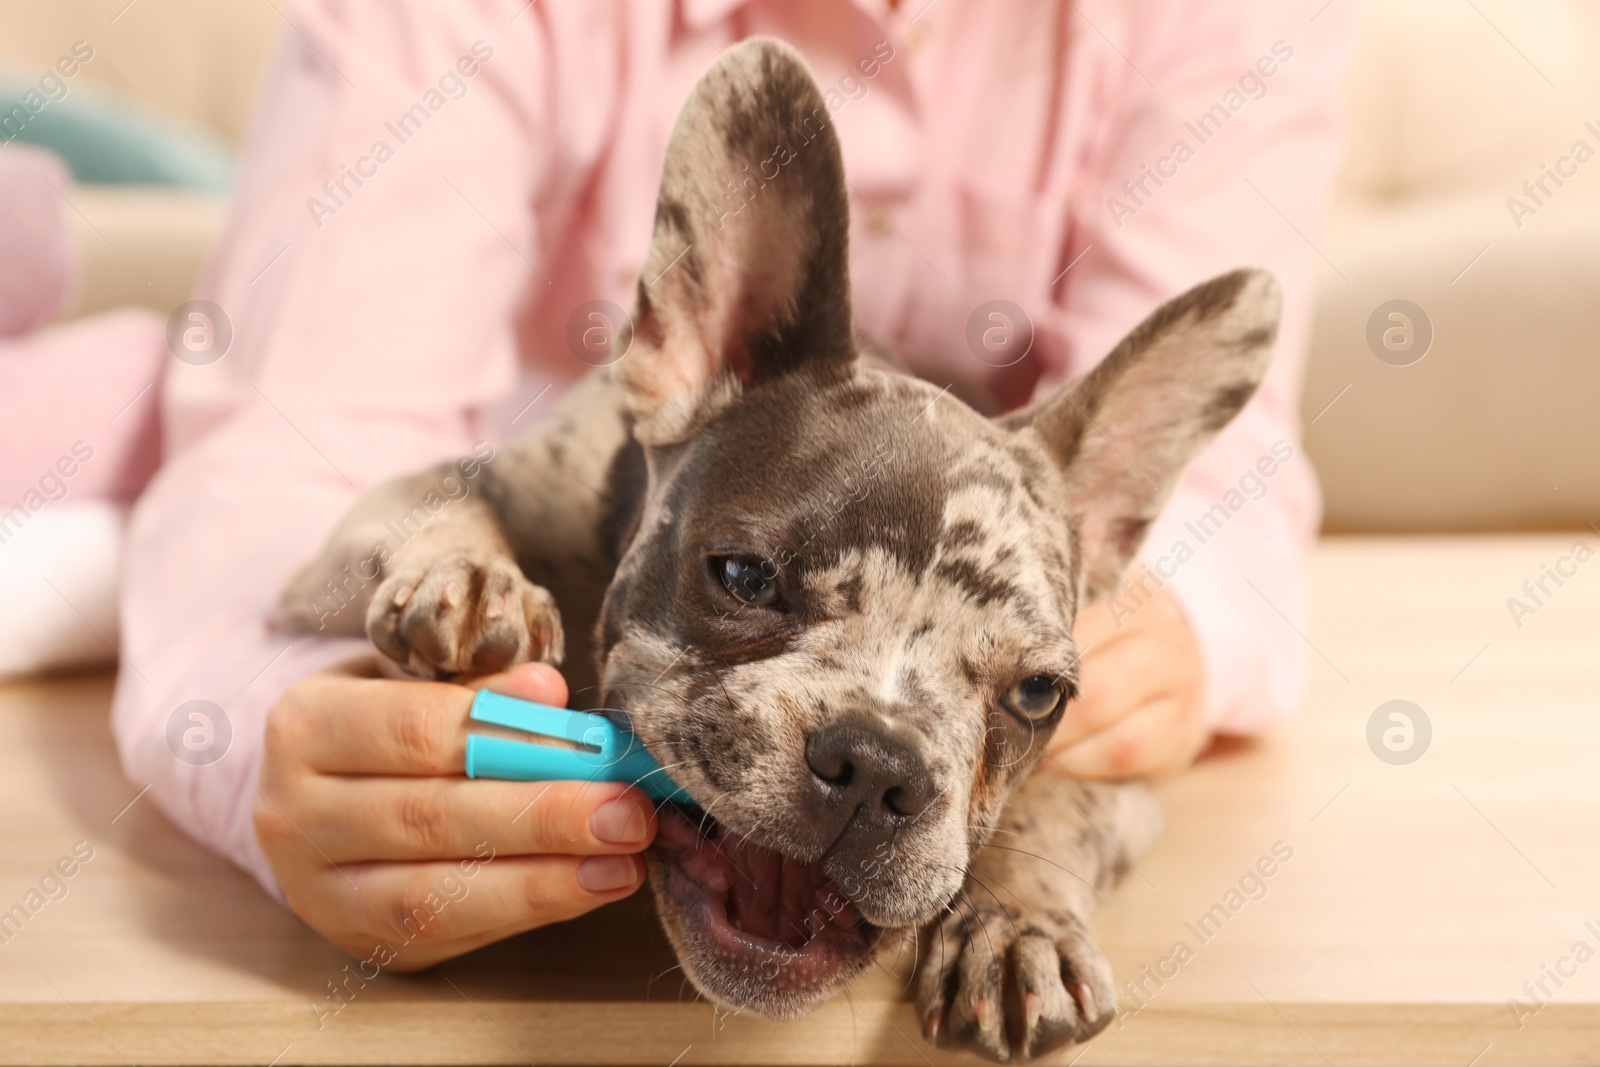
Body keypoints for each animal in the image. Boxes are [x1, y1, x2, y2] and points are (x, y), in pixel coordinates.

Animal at [272, 37, 1273, 1062]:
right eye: (744, 577)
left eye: (1039, 694)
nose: (878, 763)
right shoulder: (398, 509)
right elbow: (440, 506)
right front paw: (472, 578)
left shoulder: (1120, 774)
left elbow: (1058, 801)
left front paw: (1016, 924)